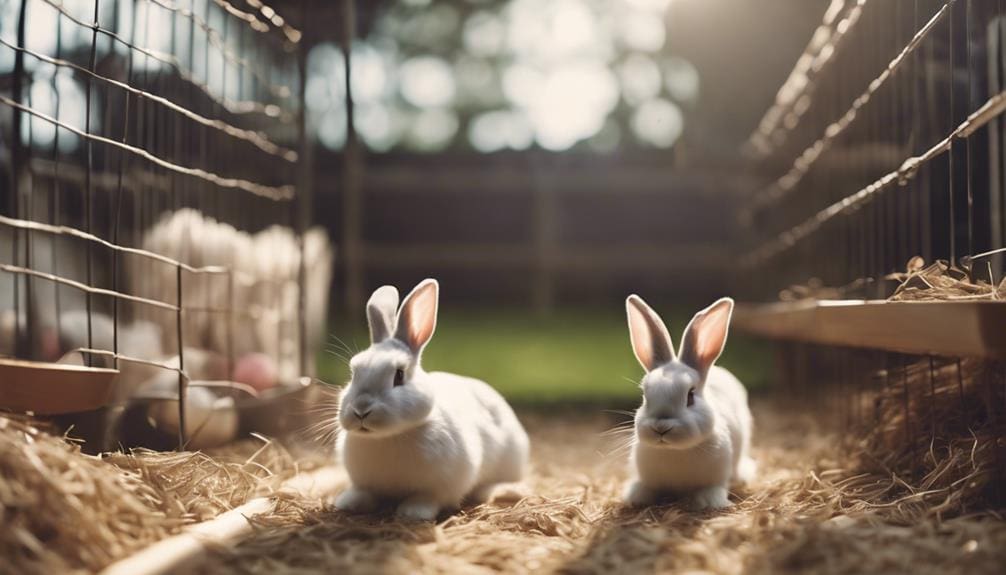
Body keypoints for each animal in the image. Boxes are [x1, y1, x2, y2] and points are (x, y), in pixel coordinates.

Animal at [334, 279, 529, 521]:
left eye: (399, 375)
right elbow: (364, 492)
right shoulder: (364, 483)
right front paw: (347, 503)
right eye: (353, 372)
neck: (389, 437)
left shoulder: (443, 485)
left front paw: (413, 512)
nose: (361, 410)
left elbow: (428, 497)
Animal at [621, 295, 756, 510]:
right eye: (645, 395)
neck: (675, 451)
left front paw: (709, 501)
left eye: (690, 396)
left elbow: (713, 489)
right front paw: (636, 496)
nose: (660, 428)